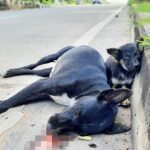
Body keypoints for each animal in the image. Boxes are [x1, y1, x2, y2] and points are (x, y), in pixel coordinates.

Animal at [0, 45, 132, 135]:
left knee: (37, 72)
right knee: (34, 65)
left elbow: (20, 100)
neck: (90, 89)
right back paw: (11, 72)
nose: (49, 127)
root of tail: (88, 46)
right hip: (53, 56)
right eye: (77, 112)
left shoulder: (44, 93)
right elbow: (15, 98)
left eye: (79, 131)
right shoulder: (42, 85)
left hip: (50, 70)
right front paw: (2, 105)